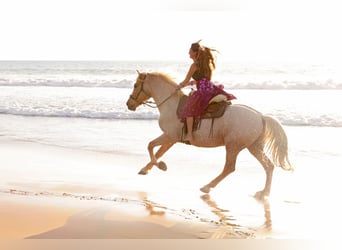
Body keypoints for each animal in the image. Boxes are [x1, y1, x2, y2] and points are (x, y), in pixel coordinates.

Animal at [125, 71, 292, 199]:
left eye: (135, 85)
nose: (129, 104)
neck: (171, 105)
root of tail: (261, 117)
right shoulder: (171, 139)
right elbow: (158, 151)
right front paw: (147, 168)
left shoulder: (170, 136)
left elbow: (151, 146)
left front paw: (160, 166)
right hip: (254, 147)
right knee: (268, 166)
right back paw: (264, 193)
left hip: (233, 146)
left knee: (230, 168)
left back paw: (207, 186)